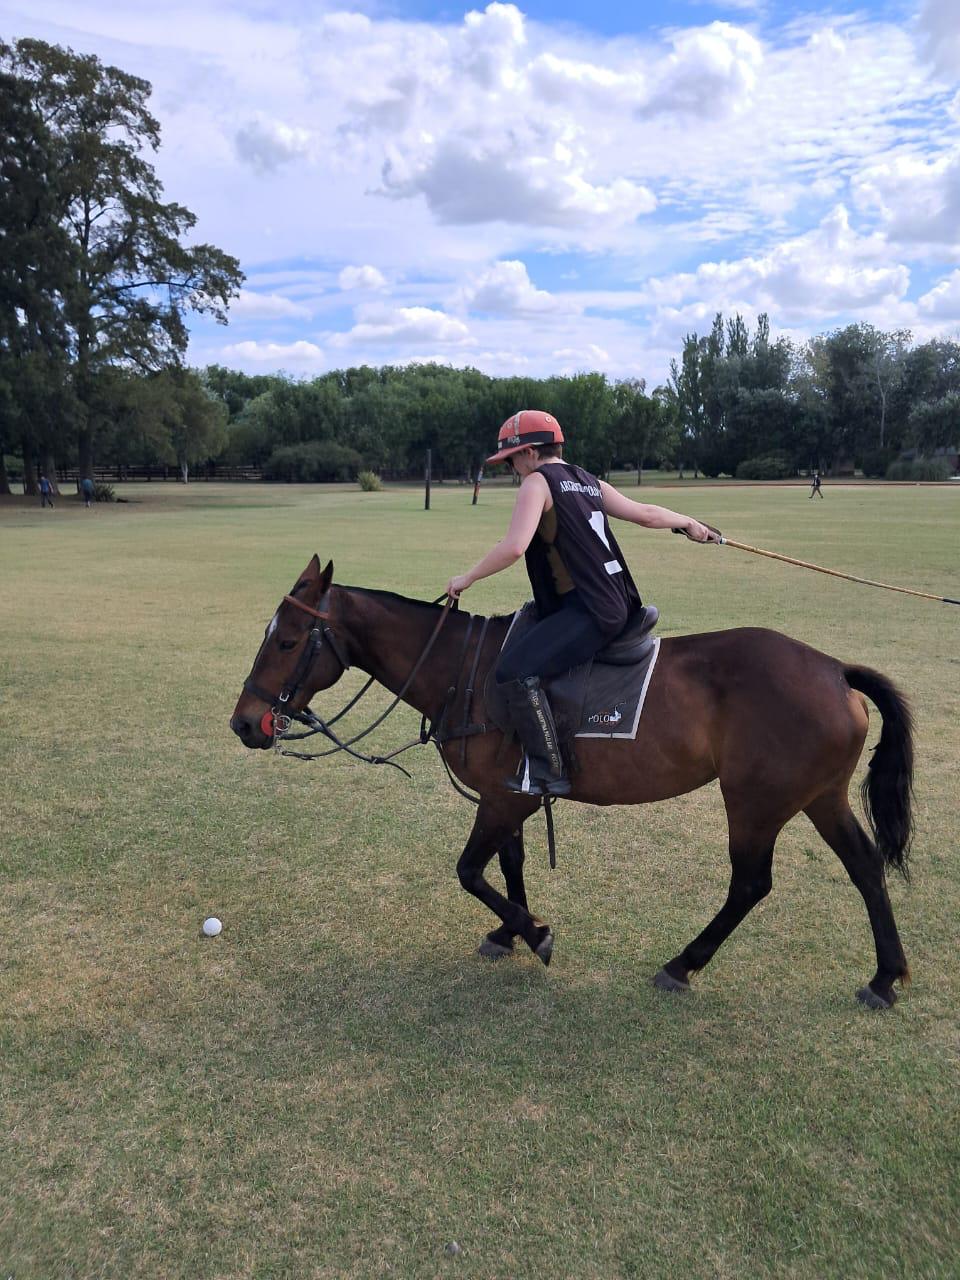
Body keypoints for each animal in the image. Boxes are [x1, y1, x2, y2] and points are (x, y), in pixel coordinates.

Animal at [231, 555, 916, 1013]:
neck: (463, 670)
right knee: (865, 865)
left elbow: (469, 871)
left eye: (287, 641)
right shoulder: (509, 795)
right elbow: (508, 865)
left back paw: (682, 964)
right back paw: (884, 977)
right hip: (819, 797)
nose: (244, 723)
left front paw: (535, 934)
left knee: (751, 883)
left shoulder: (505, 798)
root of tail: (835, 671)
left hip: (754, 803)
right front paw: (510, 931)